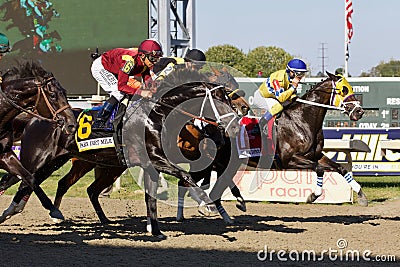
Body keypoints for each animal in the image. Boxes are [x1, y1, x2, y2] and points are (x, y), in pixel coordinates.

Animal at [0, 61, 76, 222]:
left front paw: (54, 211)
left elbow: (30, 178)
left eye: (65, 92)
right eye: (52, 95)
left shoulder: (5, 154)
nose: (72, 124)